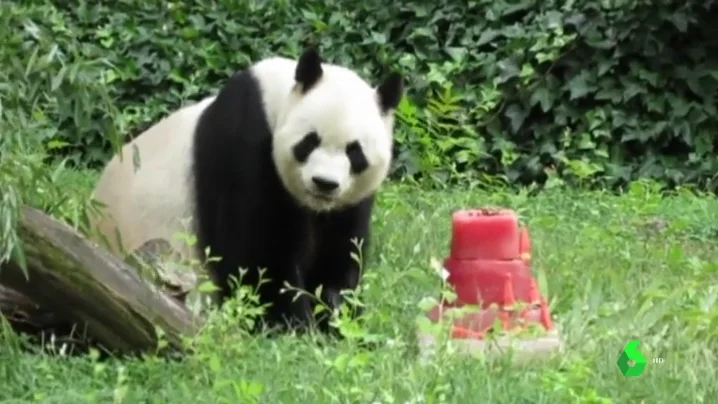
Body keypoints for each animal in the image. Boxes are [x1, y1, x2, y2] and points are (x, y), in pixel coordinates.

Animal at [88, 47, 404, 336]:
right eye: (309, 141)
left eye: (354, 152)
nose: (324, 183)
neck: (277, 100)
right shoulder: (245, 142)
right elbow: (255, 253)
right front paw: (294, 326)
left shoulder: (348, 203)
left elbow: (339, 256)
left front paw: (339, 321)